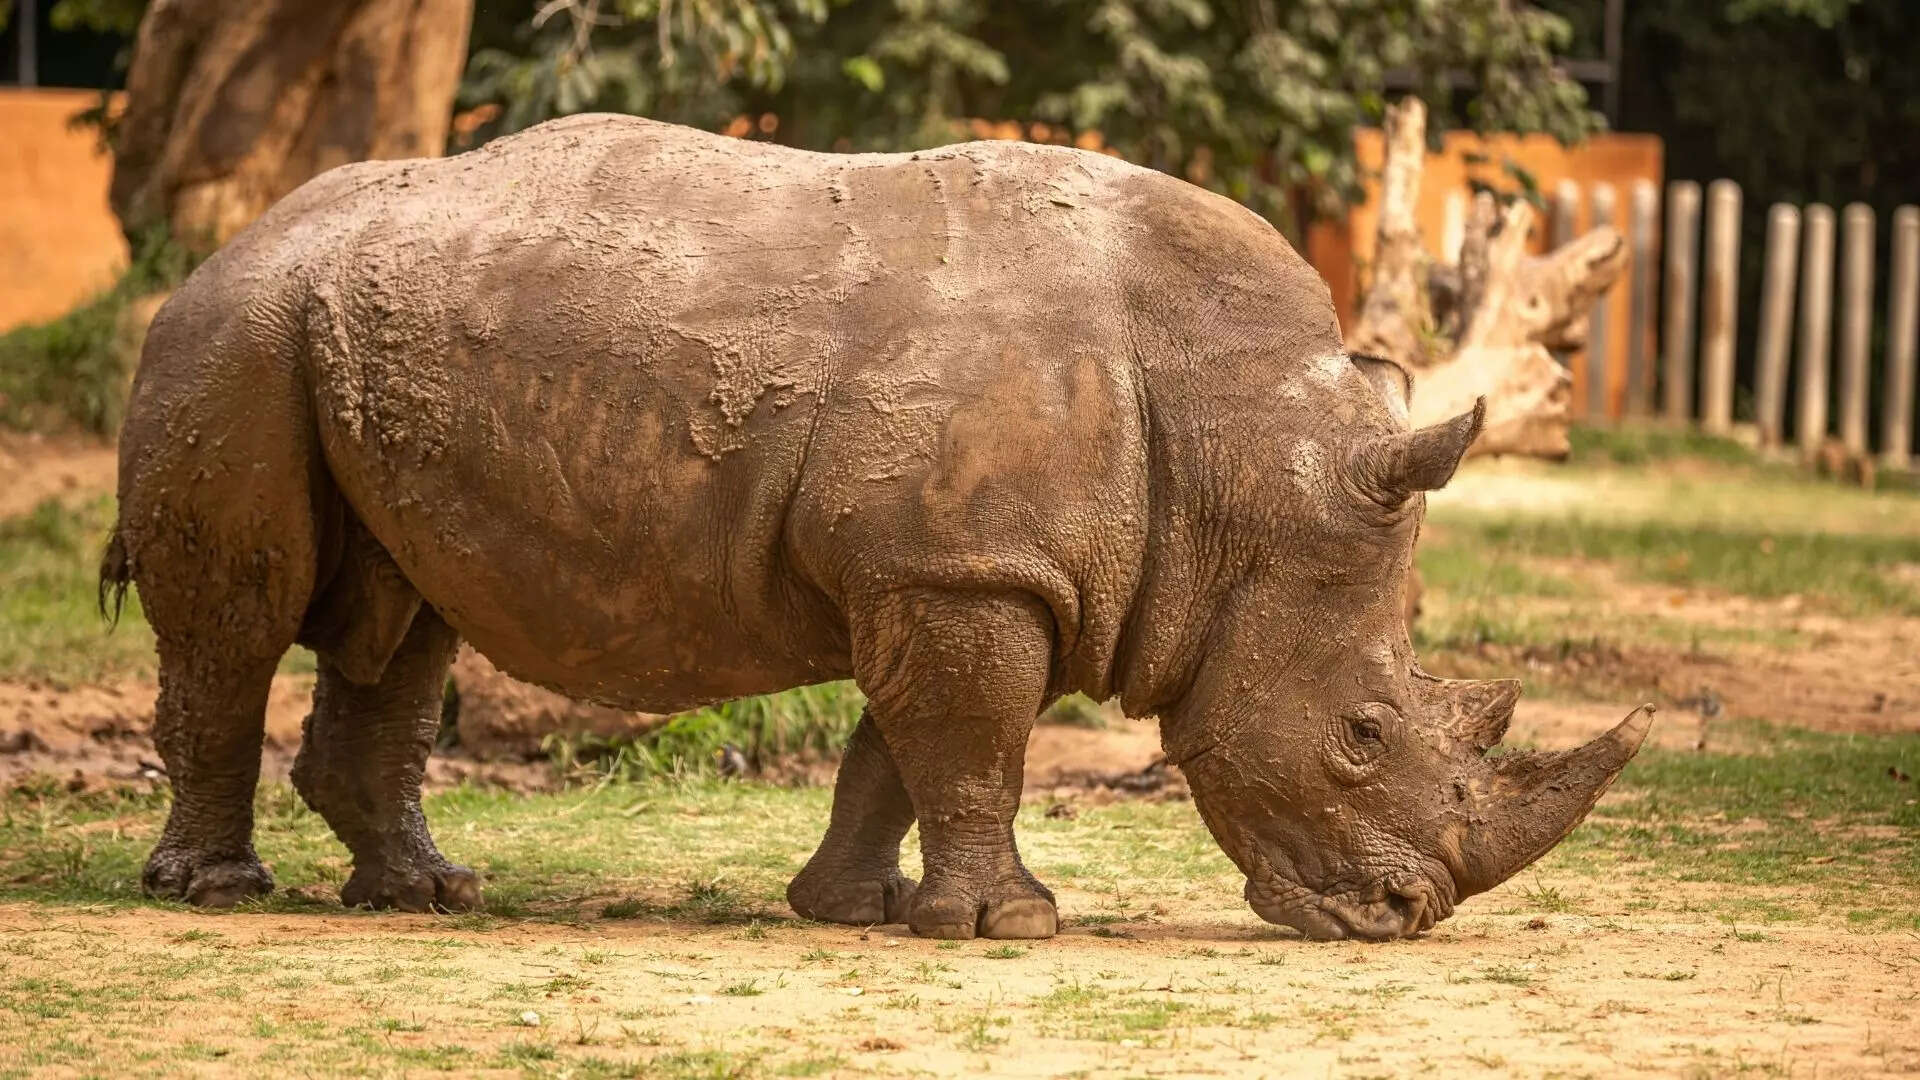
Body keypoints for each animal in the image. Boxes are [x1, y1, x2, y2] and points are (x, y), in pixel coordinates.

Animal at [103, 114, 1651, 940]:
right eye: (1363, 735)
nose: (1406, 917)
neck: (1246, 466)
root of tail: (229, 245)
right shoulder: (962, 570)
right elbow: (972, 745)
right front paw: (1011, 925)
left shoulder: (950, 565)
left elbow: (898, 754)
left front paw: (856, 911)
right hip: (233, 334)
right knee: (241, 619)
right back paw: (216, 893)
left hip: (351, 337)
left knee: (407, 614)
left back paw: (429, 895)